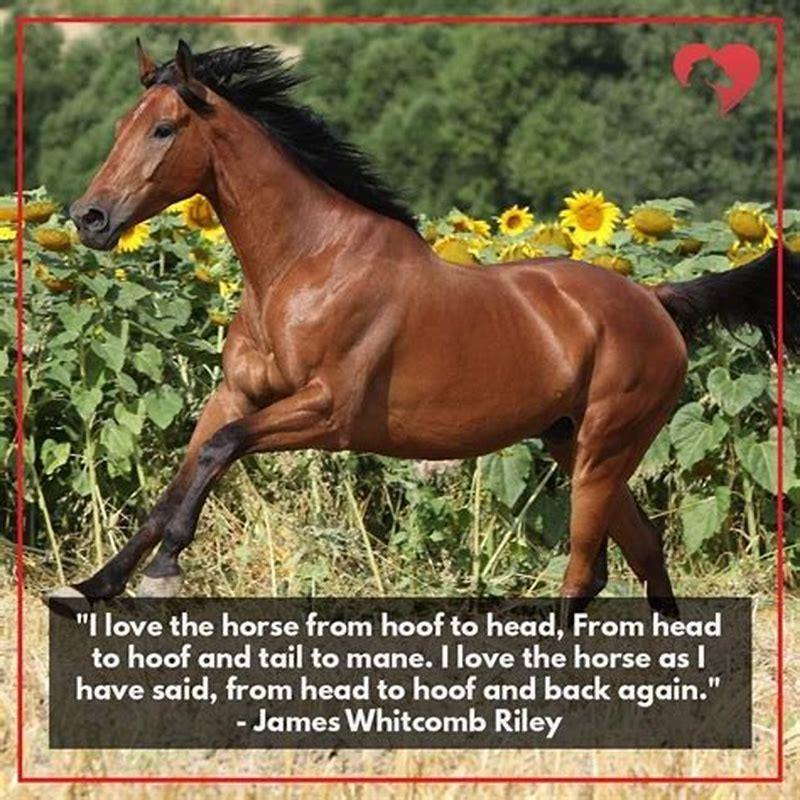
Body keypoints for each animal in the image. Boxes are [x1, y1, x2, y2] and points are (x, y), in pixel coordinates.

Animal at [52, 40, 799, 620]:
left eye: (165, 128)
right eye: (123, 123)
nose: (90, 217)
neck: (305, 267)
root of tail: (656, 300)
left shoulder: (329, 413)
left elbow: (218, 452)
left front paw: (162, 575)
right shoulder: (234, 395)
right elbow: (176, 482)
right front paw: (93, 586)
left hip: (605, 448)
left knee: (587, 571)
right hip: (571, 443)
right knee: (643, 550)